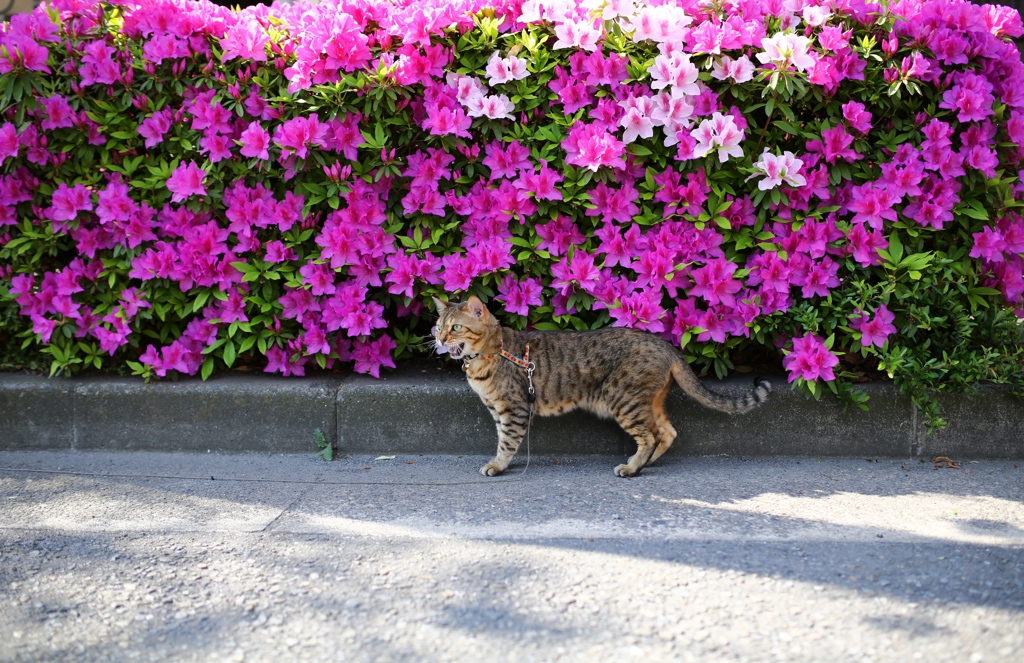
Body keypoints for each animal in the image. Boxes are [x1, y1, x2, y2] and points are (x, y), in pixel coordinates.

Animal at [428, 297, 770, 477]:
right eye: (438, 326)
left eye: (455, 327)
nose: (440, 339)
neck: (490, 354)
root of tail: (666, 345)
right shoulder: (499, 410)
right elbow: (502, 437)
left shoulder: (513, 408)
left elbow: (507, 442)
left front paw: (497, 465)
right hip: (648, 401)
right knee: (668, 432)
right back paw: (645, 464)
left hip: (623, 399)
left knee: (651, 435)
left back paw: (632, 468)